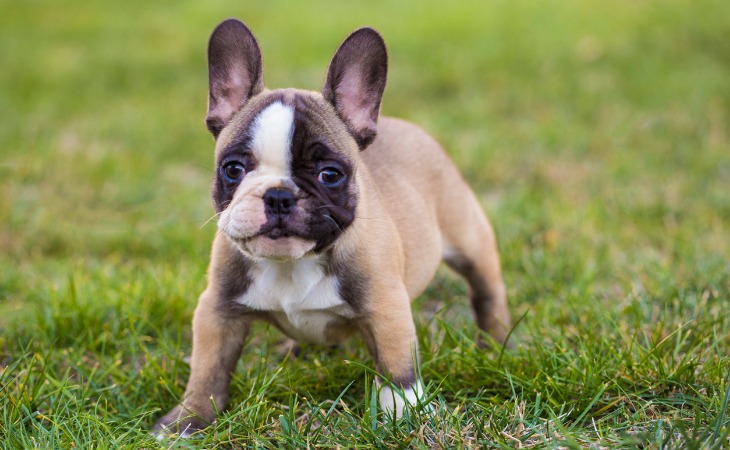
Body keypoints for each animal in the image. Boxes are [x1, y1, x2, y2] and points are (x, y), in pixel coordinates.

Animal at [152, 19, 512, 438]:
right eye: (233, 169)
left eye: (330, 174)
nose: (278, 196)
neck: (291, 264)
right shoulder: (217, 309)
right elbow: (208, 369)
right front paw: (185, 421)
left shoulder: (386, 307)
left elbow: (397, 369)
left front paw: (404, 414)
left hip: (470, 238)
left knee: (486, 291)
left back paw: (496, 344)